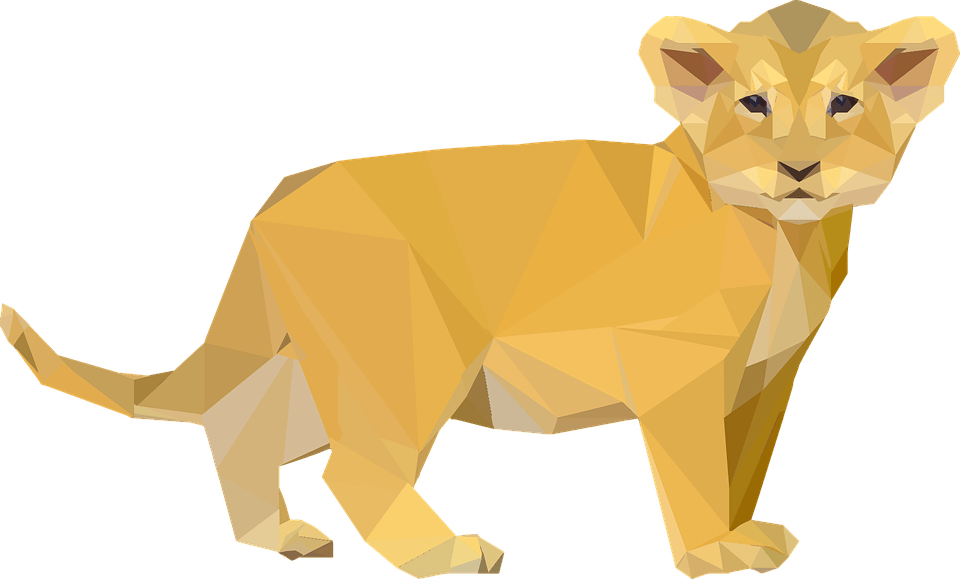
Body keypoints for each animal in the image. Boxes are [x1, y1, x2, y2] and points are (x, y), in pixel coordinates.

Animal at [2, 2, 956, 577]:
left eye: (844, 105)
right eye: (753, 105)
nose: (799, 170)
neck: (789, 239)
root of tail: (278, 197)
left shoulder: (768, 379)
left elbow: (744, 465)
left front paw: (747, 533)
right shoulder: (677, 370)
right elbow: (696, 473)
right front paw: (711, 551)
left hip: (320, 365)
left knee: (242, 426)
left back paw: (279, 537)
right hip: (405, 356)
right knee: (355, 466)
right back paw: (446, 553)